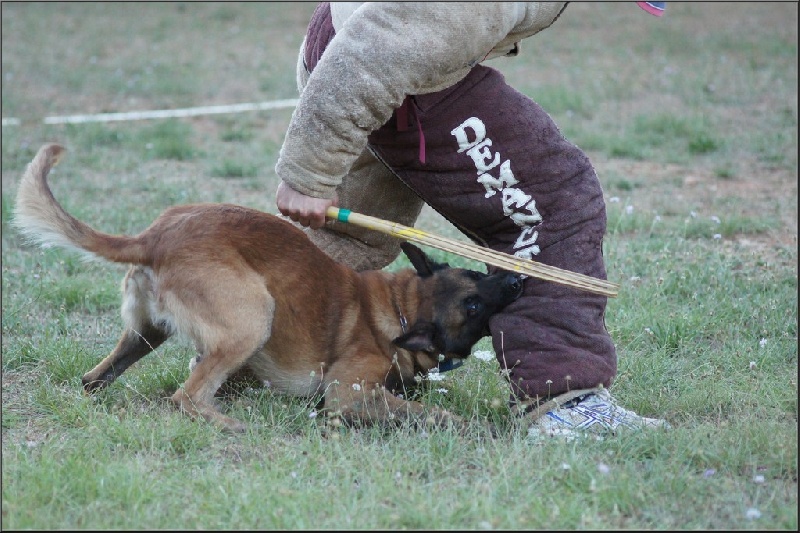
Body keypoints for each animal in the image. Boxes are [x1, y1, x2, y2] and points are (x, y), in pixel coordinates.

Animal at [14, 144, 524, 432]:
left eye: (477, 278)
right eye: (473, 305)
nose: (517, 277)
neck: (402, 305)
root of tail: (154, 237)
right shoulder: (347, 394)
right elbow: (422, 412)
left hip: (146, 333)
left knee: (93, 380)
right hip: (253, 317)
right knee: (186, 398)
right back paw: (230, 425)